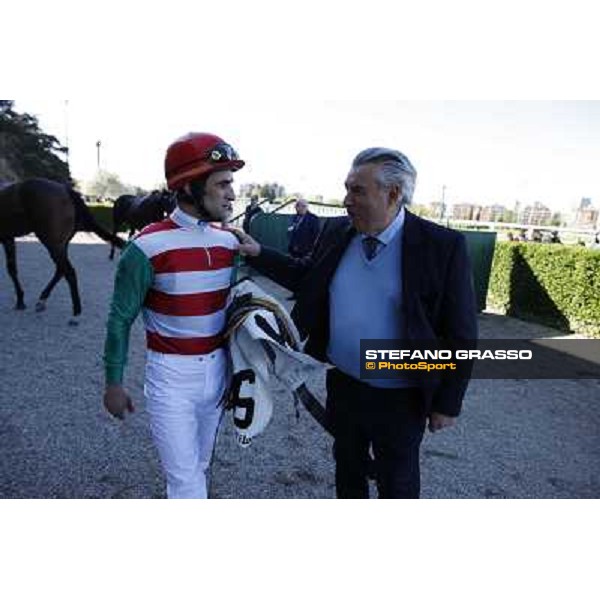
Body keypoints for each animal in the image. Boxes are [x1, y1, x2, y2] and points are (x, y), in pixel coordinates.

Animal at [0, 177, 125, 324]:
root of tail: (65, 190)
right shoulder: (7, 238)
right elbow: (12, 269)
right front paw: (20, 300)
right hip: (61, 244)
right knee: (61, 270)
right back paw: (43, 300)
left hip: (52, 243)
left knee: (69, 272)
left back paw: (75, 313)